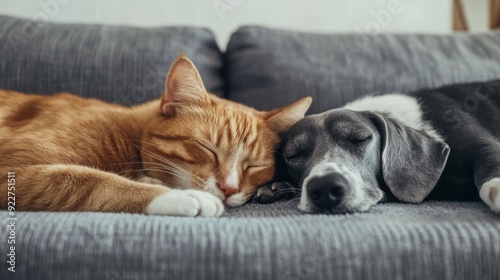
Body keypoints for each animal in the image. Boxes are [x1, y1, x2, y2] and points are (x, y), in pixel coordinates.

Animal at [0, 54, 312, 217]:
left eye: (255, 166)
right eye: (207, 149)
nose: (229, 189)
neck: (130, 134)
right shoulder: (12, 170)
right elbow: (95, 180)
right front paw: (180, 196)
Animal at [256, 80, 500, 213]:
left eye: (360, 138)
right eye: (294, 155)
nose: (325, 187)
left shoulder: (482, 145)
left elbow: (490, 164)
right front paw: (275, 188)